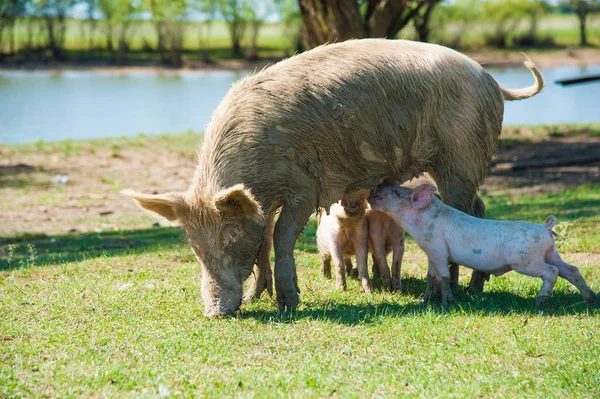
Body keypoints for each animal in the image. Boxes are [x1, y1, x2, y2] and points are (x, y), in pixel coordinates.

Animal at [123, 38, 544, 318]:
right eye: (193, 245)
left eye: (229, 237)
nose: (214, 313)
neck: (258, 171)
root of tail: (492, 79)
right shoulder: (263, 201)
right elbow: (263, 243)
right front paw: (258, 298)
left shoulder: (304, 187)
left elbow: (281, 237)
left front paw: (288, 304)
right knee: (479, 208)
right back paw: (472, 287)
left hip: (461, 153)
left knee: (460, 213)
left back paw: (439, 294)